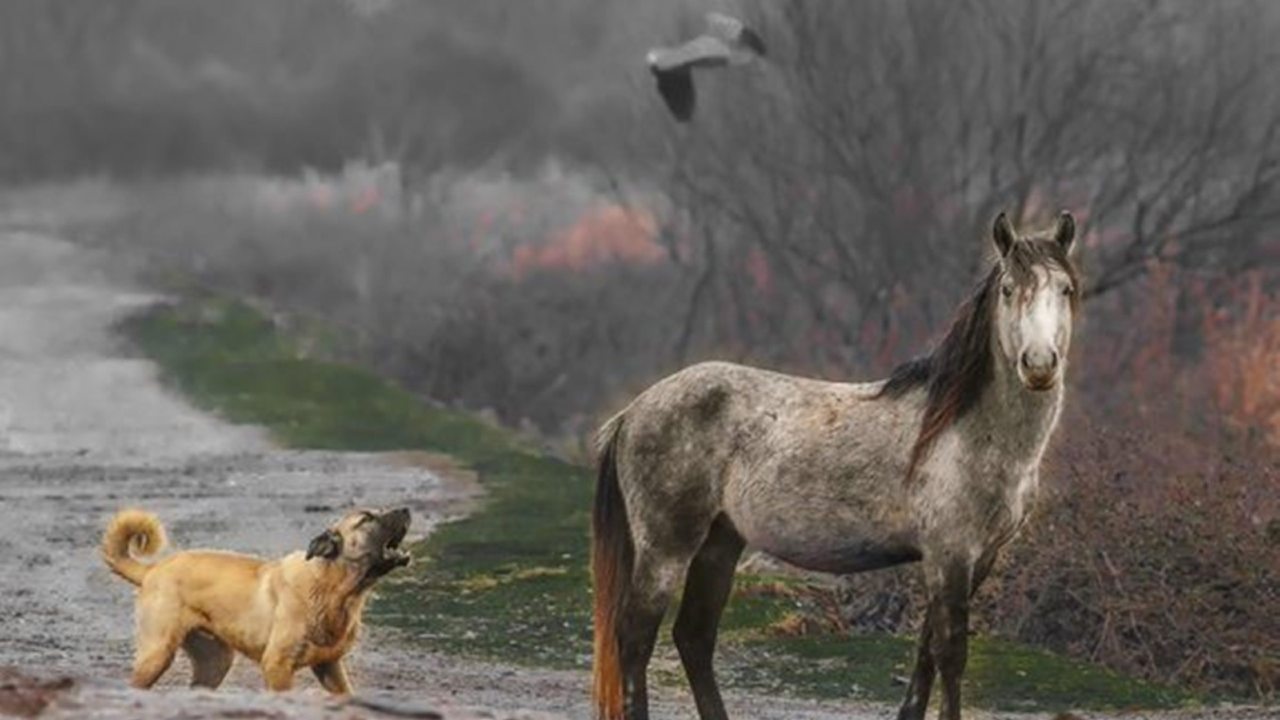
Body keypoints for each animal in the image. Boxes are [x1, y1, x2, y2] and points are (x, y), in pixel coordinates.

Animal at [101, 504, 409, 691]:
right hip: (156, 654)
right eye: (367, 518)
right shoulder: (277, 666)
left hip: (214, 662)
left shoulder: (330, 666)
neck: (332, 588)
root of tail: (153, 569)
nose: (406, 509)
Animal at [588, 210, 1080, 712]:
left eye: (1065, 289)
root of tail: (634, 412)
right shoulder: (950, 554)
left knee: (694, 637)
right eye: (1008, 289)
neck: (965, 430)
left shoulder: (978, 558)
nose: (1039, 364)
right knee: (635, 639)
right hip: (665, 549)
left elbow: (926, 651)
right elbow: (950, 656)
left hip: (719, 542)